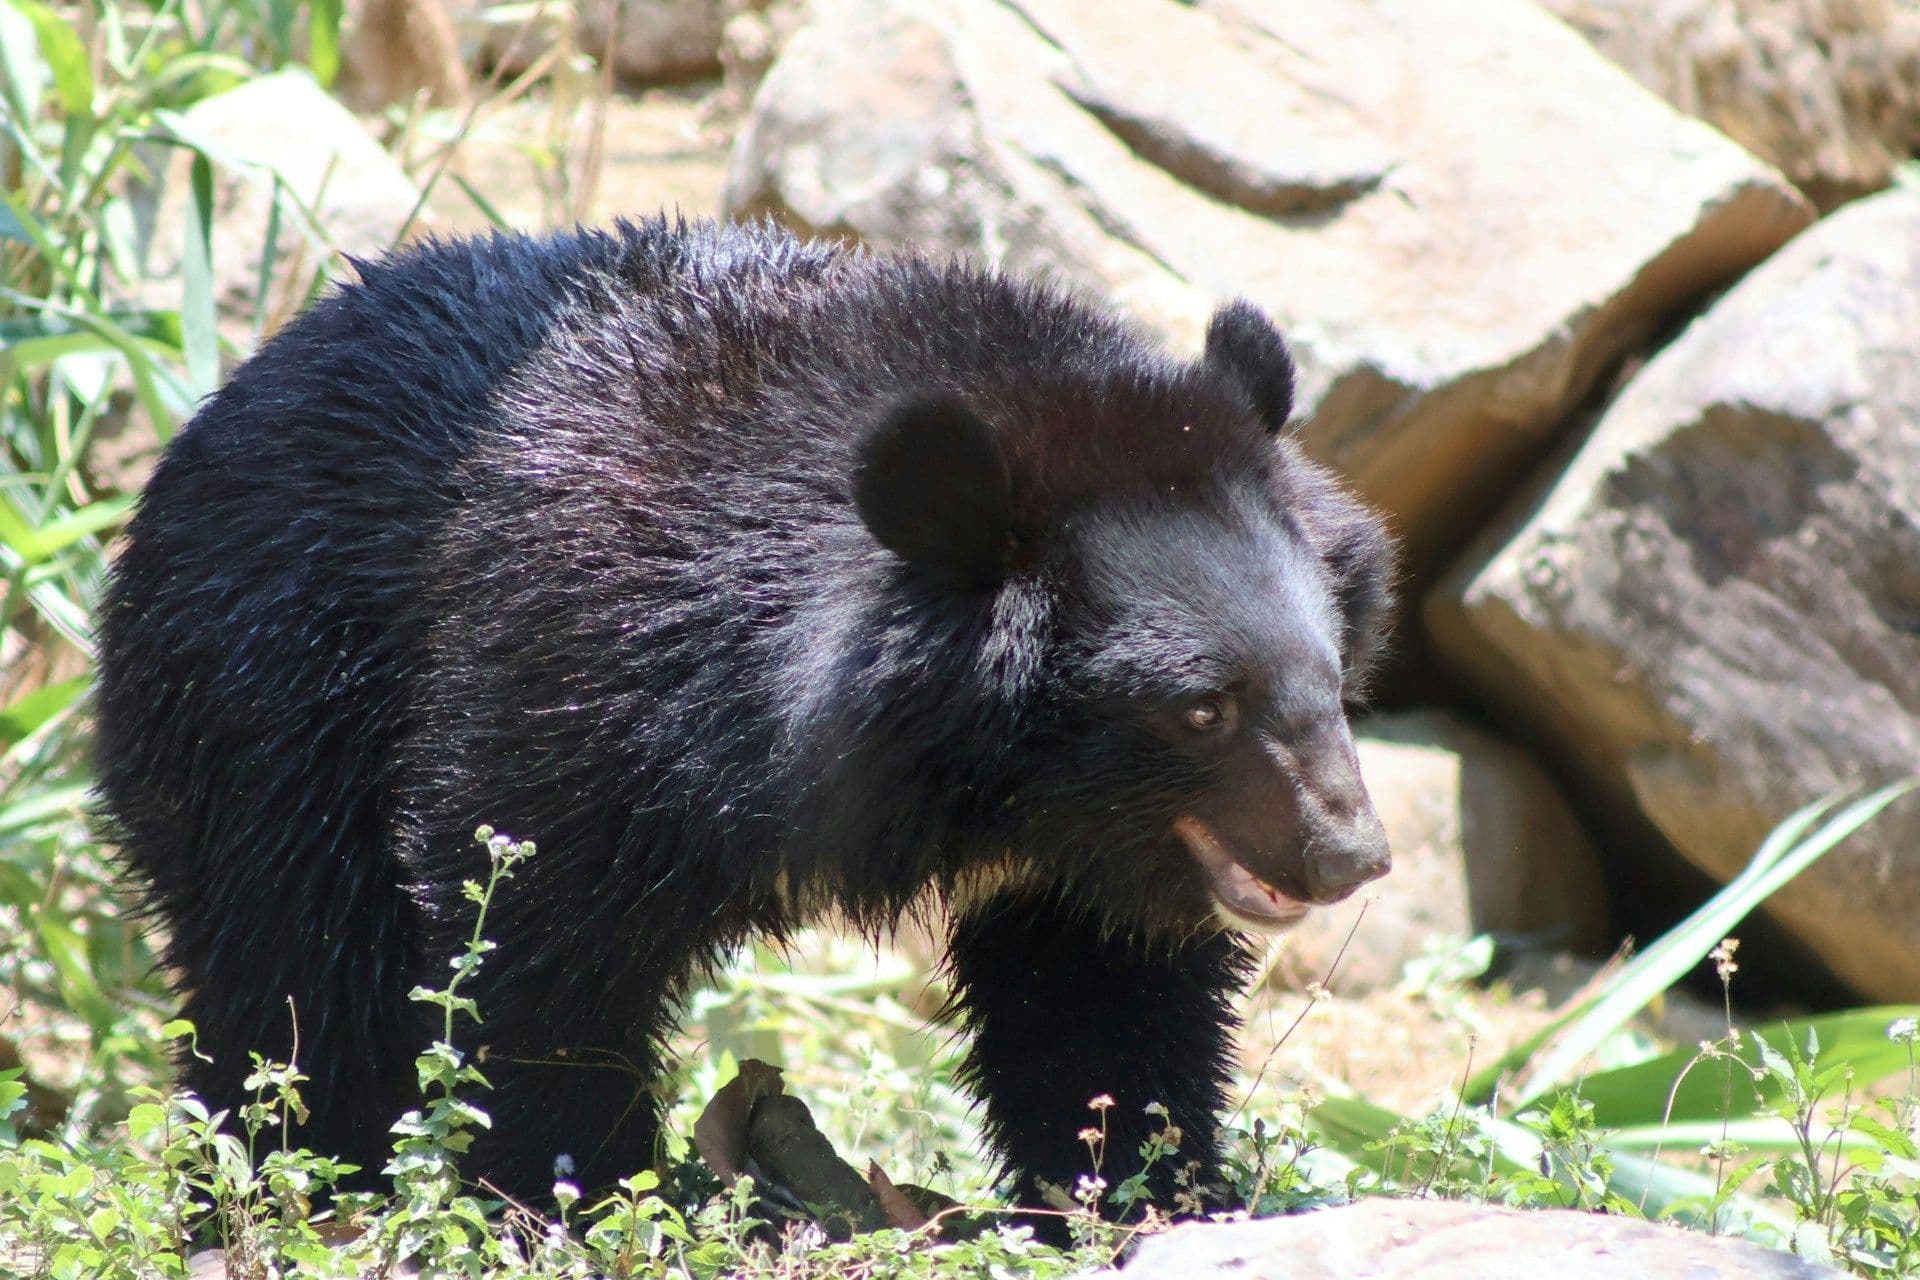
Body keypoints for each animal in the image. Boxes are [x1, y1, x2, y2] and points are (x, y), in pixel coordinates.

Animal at [95, 217, 1394, 1218]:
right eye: (1201, 707)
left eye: (1332, 673)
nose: (1350, 855)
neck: (1001, 786)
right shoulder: (576, 671)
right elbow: (536, 935)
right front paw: (570, 1193)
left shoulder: (1080, 873)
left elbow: (1103, 1009)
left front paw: (1145, 1196)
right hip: (269, 700)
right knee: (297, 973)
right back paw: (288, 1182)